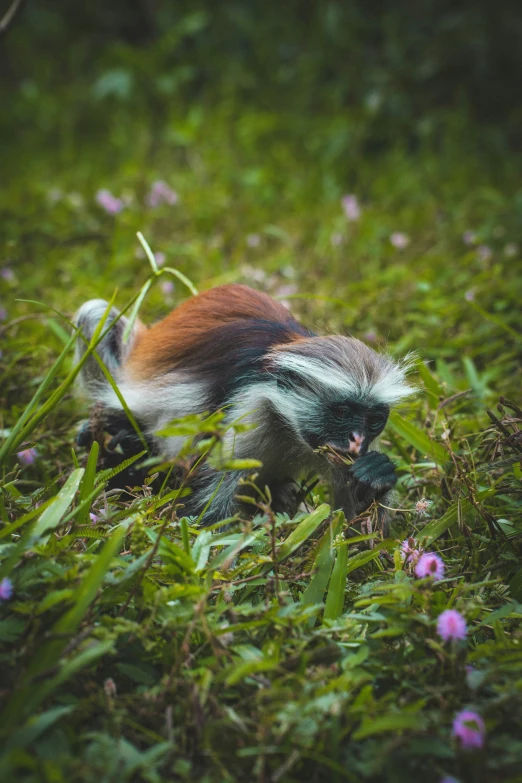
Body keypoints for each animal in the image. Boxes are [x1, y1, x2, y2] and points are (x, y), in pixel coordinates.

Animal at [74, 282, 414, 528]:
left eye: (373, 420)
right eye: (342, 412)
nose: (357, 439)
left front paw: (376, 473)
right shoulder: (250, 405)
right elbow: (206, 514)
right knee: (94, 313)